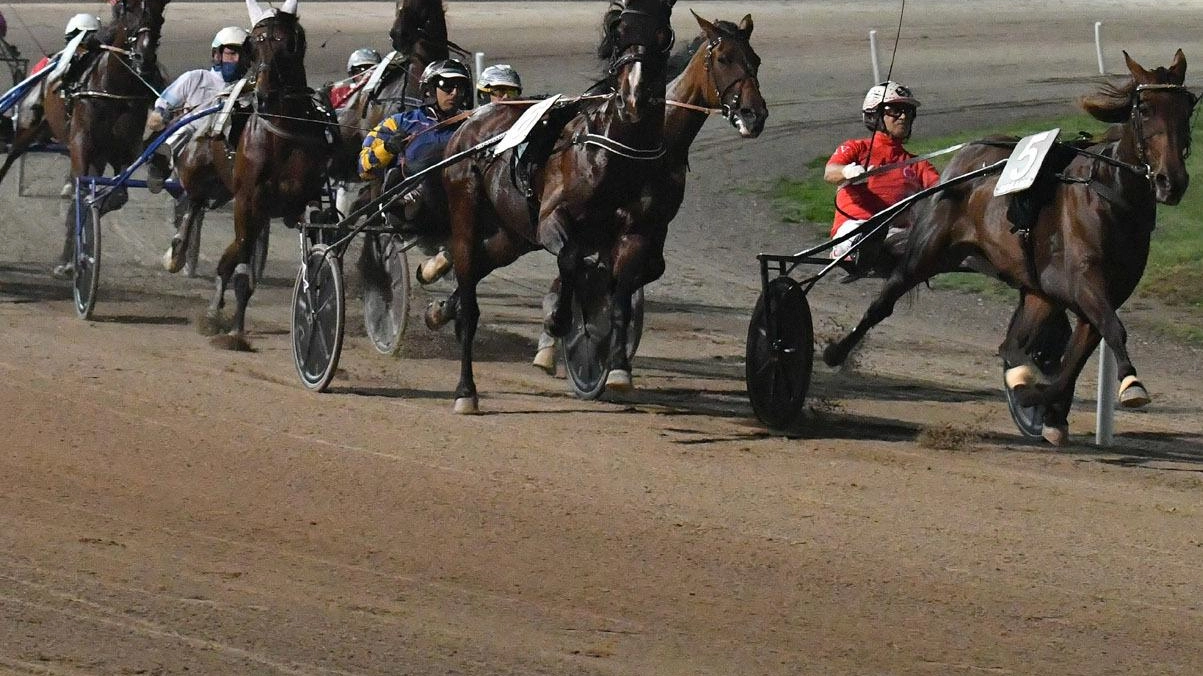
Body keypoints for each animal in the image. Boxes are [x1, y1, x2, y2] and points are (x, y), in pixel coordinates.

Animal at [203, 0, 332, 346]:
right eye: (256, 45)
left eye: (289, 45)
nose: (264, 96)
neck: (282, 135)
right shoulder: (249, 200)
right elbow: (240, 260)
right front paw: (233, 329)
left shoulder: (307, 197)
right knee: (237, 250)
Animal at [433, 0, 678, 411]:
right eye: (620, 32)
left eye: (663, 34)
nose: (635, 98)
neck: (618, 152)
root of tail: (472, 121)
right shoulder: (551, 219)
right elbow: (571, 258)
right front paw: (560, 321)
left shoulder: (638, 232)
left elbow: (622, 292)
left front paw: (618, 368)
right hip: (466, 212)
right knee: (469, 290)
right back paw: (465, 390)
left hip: (511, 236)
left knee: (484, 265)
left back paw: (443, 310)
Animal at [818, 49, 1193, 445]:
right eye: (1145, 109)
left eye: (1188, 106)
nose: (1172, 181)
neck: (1109, 192)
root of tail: (961, 163)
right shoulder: (1083, 282)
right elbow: (1112, 330)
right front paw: (1132, 385)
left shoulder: (1100, 292)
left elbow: (1076, 355)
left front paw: (1040, 403)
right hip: (926, 252)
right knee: (884, 301)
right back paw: (835, 352)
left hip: (1035, 289)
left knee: (1015, 344)